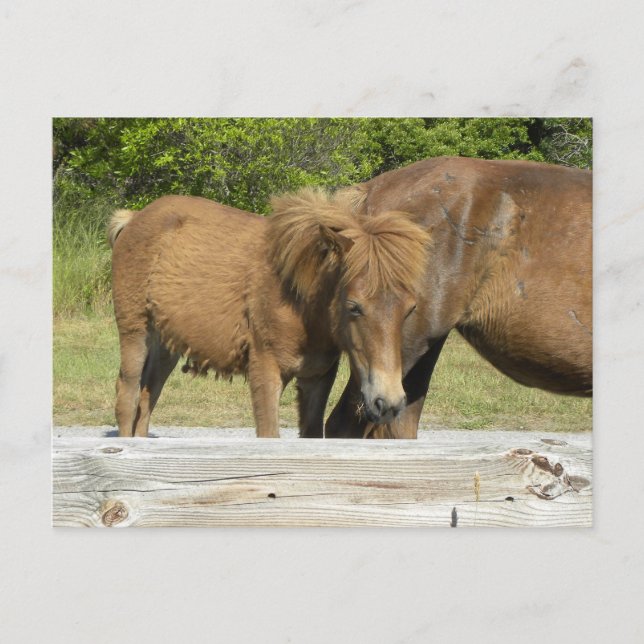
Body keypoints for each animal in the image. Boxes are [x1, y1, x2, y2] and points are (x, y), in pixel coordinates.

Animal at [108, 189, 431, 438]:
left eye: (410, 309)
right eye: (353, 307)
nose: (388, 403)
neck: (299, 304)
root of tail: (134, 219)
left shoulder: (316, 380)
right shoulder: (266, 372)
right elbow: (269, 434)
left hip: (166, 345)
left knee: (147, 399)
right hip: (135, 332)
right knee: (127, 396)